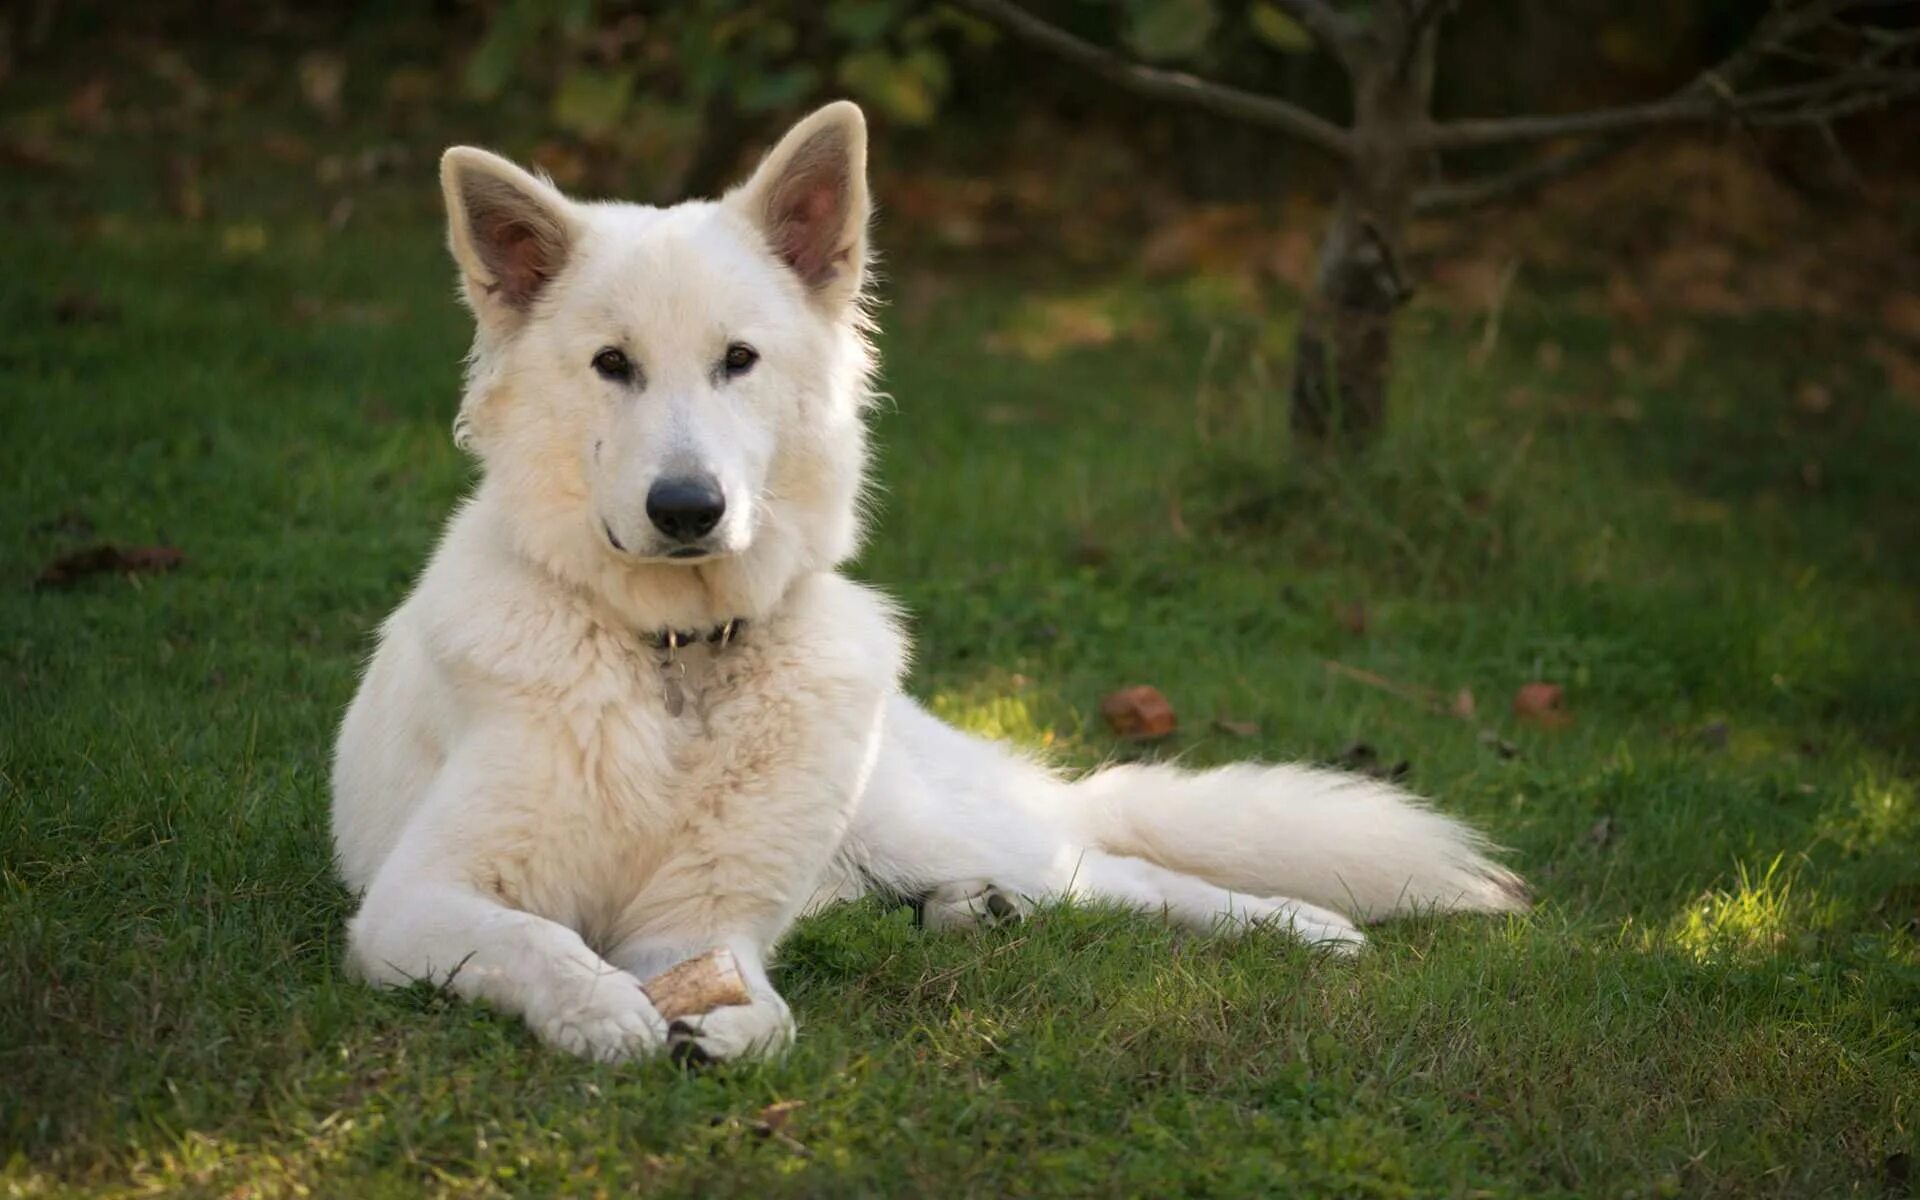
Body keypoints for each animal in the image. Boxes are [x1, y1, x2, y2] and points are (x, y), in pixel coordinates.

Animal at [334, 100, 1528, 1059]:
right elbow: (538, 941)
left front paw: (724, 1027)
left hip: (927, 826)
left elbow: (764, 1010)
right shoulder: (415, 902)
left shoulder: (696, 920)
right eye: (611, 365)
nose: (687, 511)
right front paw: (605, 1014)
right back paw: (969, 913)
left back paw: (1295, 923)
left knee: (1127, 873)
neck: (676, 667)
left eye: (738, 361)